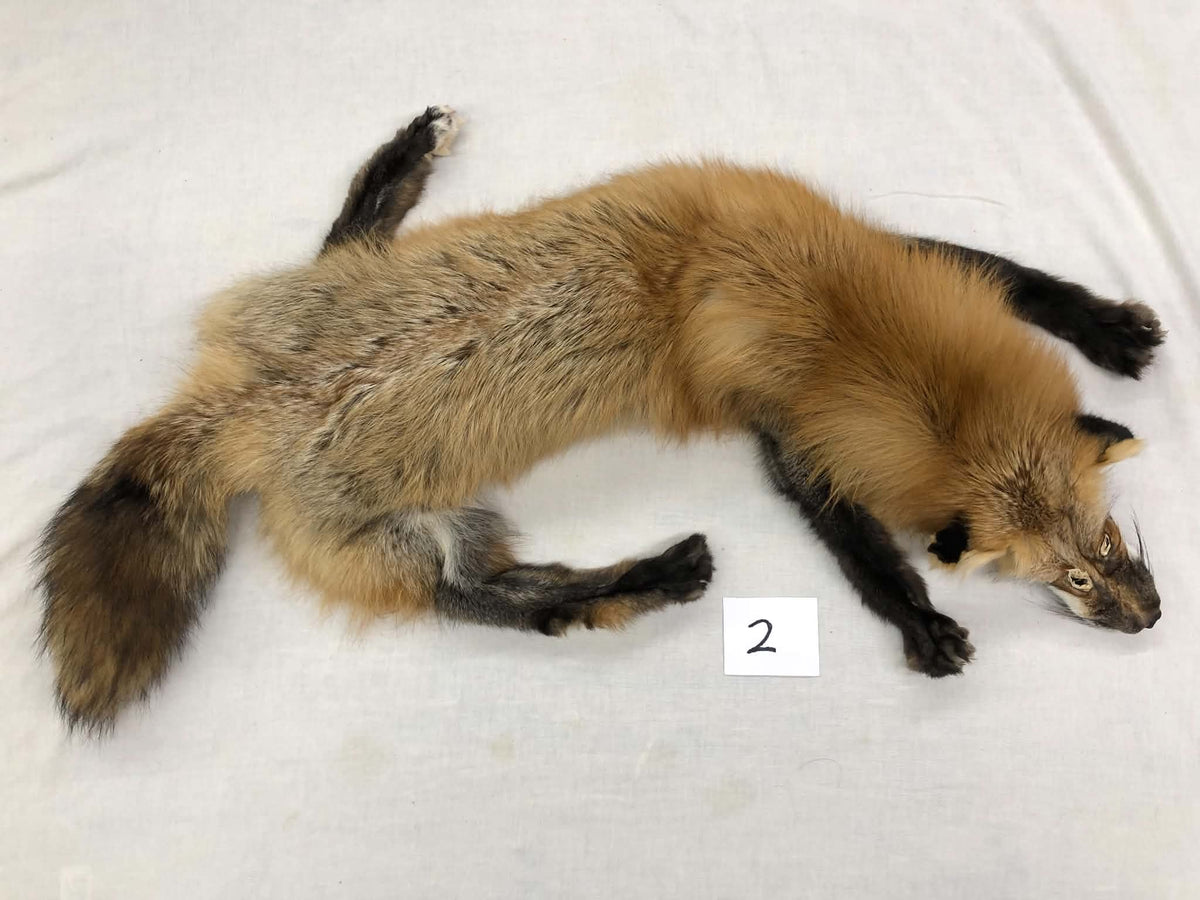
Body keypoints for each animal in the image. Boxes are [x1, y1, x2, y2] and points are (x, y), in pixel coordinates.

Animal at [37, 106, 1164, 732]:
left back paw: (397, 168)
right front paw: (919, 622)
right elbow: (859, 548)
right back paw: (650, 577)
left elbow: (1013, 277)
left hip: (337, 329)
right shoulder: (789, 427)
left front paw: (1103, 326)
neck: (837, 320)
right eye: (1068, 580)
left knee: (340, 242)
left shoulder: (881, 260)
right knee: (503, 603)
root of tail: (238, 410)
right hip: (413, 541)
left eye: (1106, 540)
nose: (1150, 619)